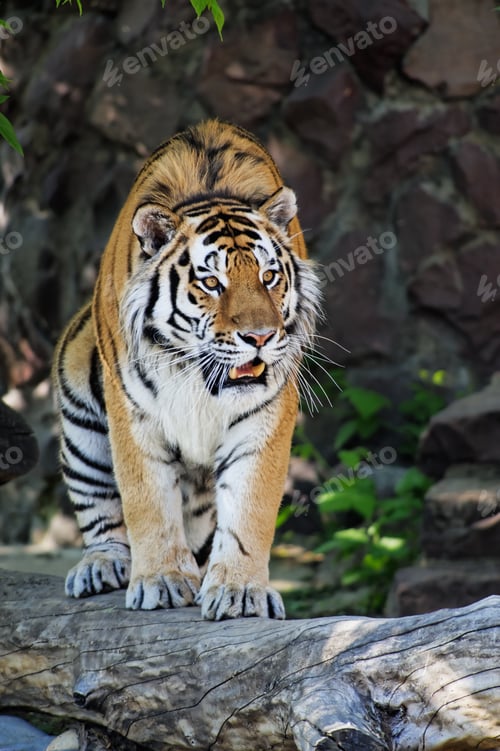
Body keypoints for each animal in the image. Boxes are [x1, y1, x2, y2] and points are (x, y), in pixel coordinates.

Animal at [53, 119, 321, 620]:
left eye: (269, 277)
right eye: (212, 283)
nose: (259, 337)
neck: (198, 375)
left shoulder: (266, 412)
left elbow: (250, 506)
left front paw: (239, 590)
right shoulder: (132, 410)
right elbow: (146, 500)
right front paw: (161, 579)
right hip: (79, 399)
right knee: (101, 512)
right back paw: (101, 566)